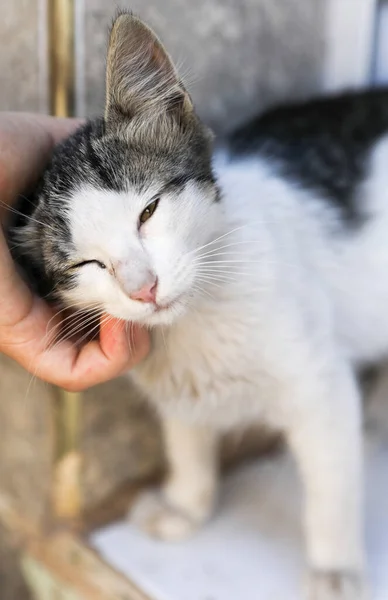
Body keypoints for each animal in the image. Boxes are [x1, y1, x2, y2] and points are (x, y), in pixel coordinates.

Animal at [9, 11, 388, 596]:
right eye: (86, 265)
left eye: (149, 211)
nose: (143, 287)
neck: (200, 314)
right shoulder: (174, 387)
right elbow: (186, 441)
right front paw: (186, 505)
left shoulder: (321, 386)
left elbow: (332, 485)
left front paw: (335, 568)